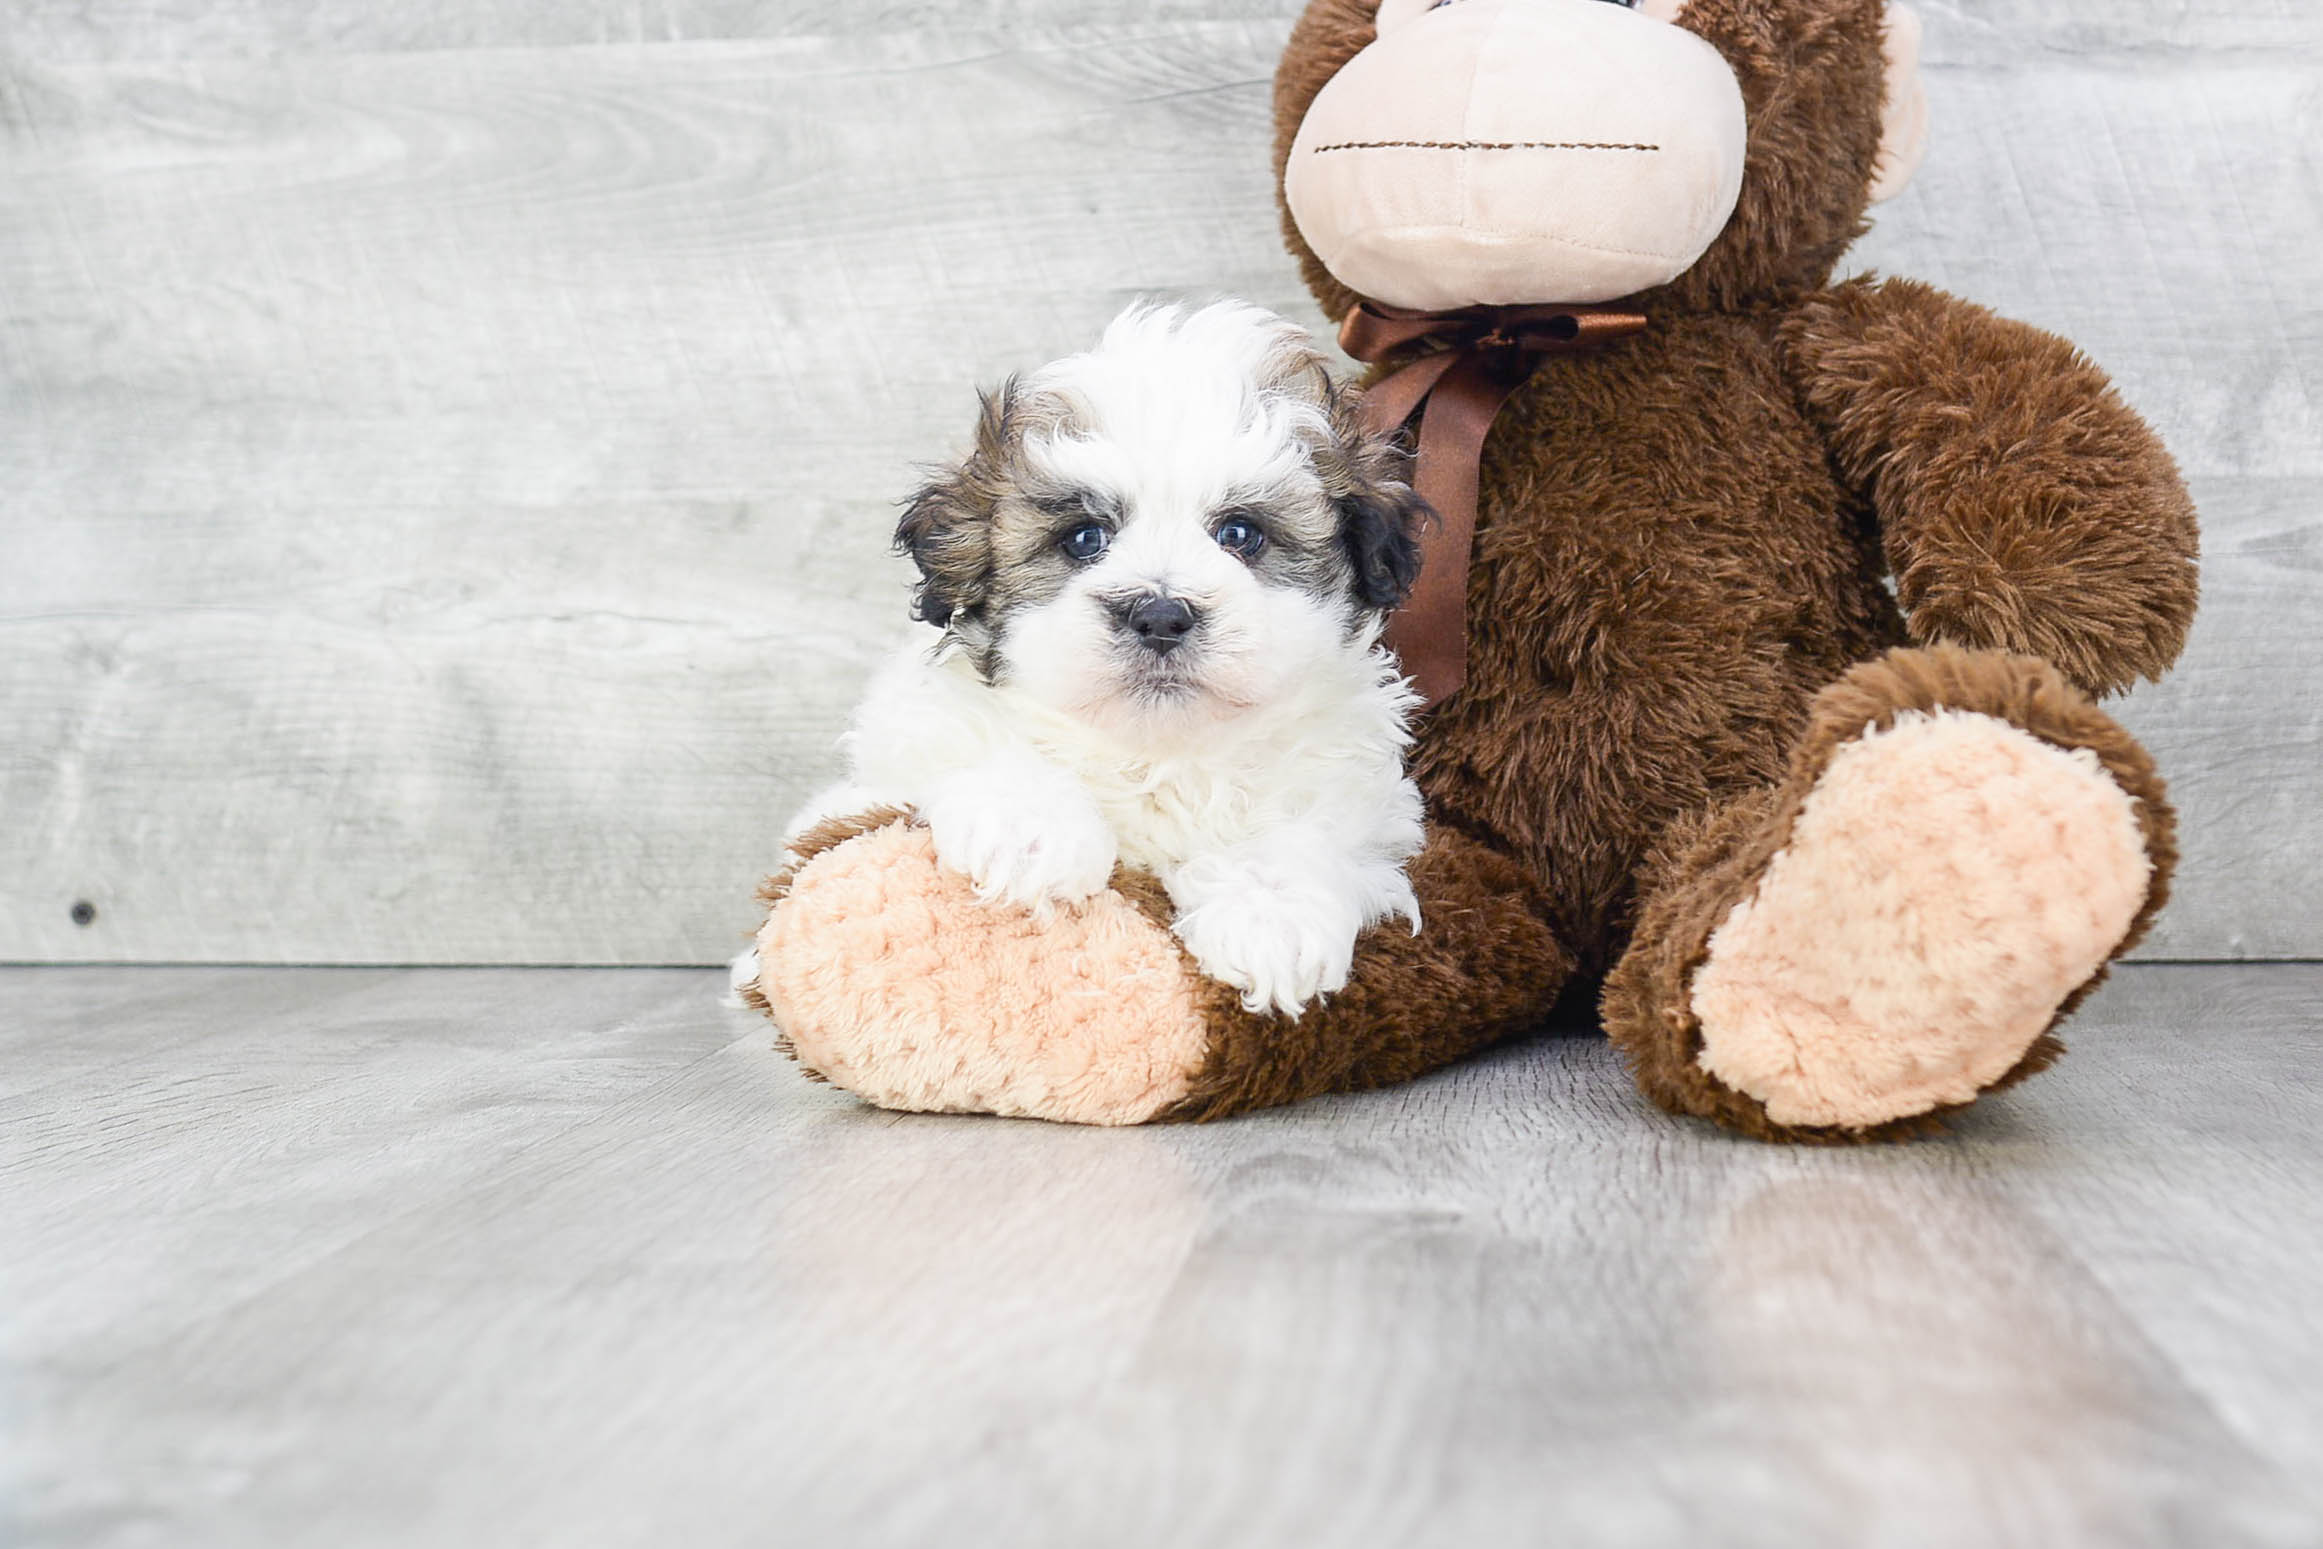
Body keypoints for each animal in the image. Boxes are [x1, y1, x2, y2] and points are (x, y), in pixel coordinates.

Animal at [789, 301, 1421, 1017]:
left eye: (1241, 534)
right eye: (1084, 538)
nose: (1160, 615)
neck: (1154, 754)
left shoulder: (1361, 799)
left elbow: (1311, 830)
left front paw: (1270, 913)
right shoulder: (902, 749)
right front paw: (1029, 828)